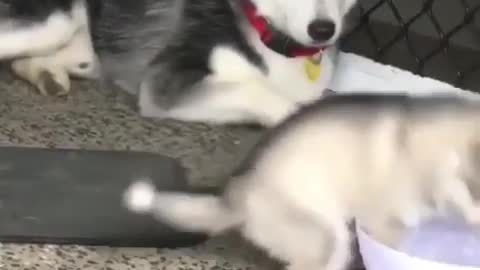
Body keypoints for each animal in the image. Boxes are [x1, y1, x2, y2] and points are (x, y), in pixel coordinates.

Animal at [0, 0, 356, 126]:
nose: (322, 30)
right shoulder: (167, 82)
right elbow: (260, 93)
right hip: (53, 23)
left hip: (87, 48)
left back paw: (46, 73)